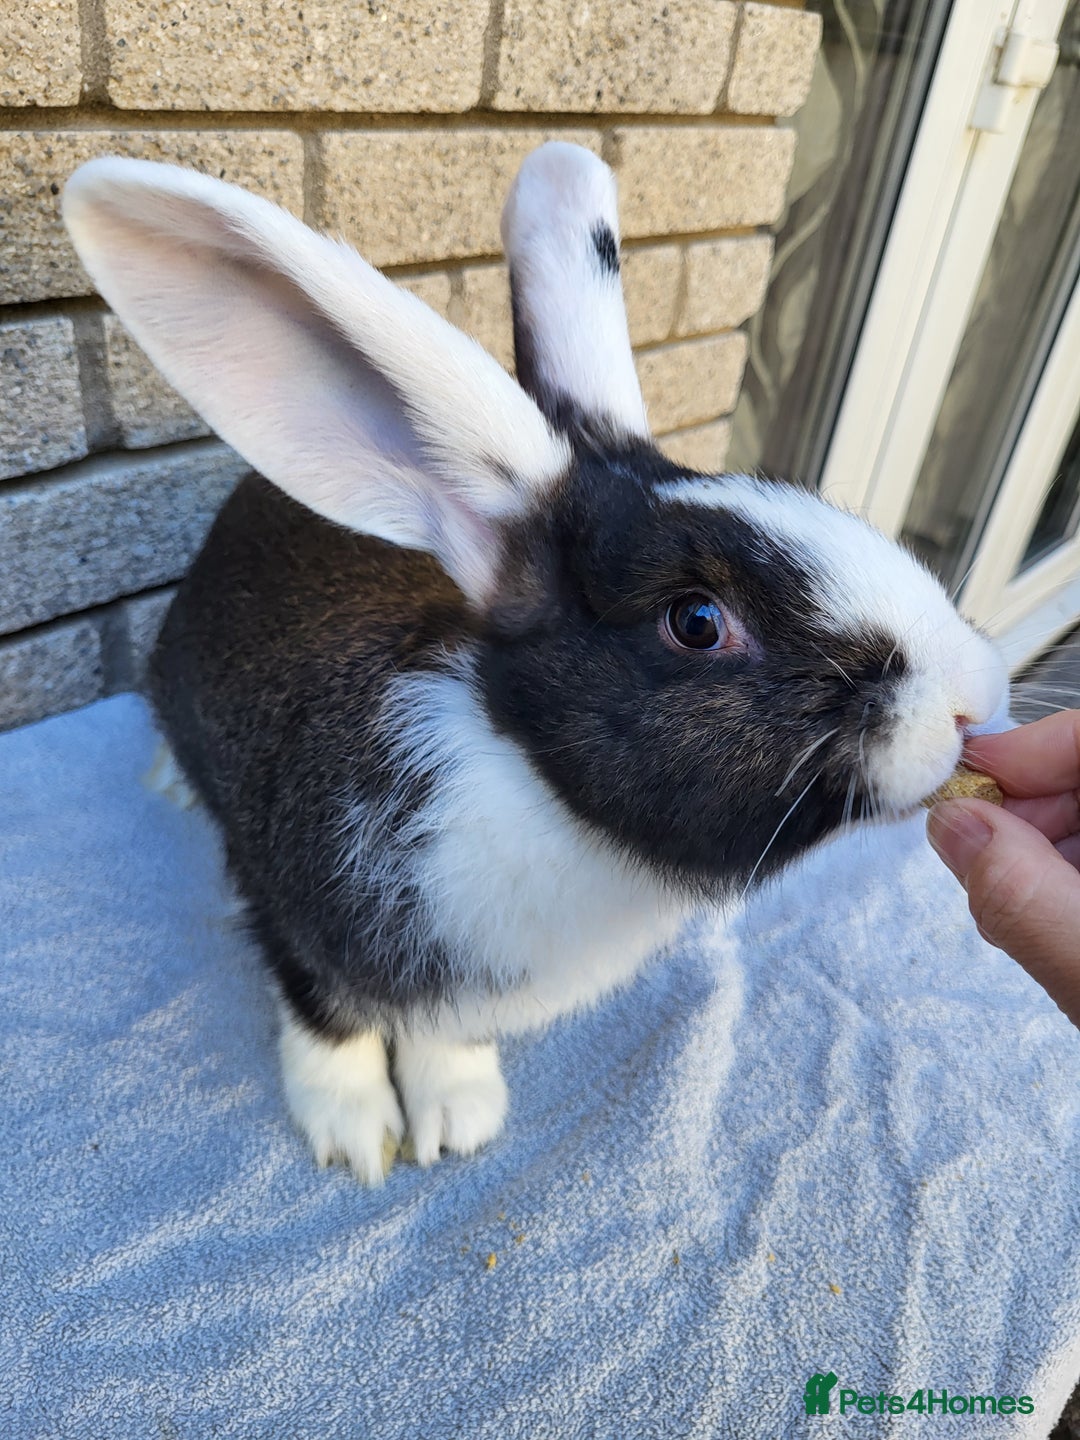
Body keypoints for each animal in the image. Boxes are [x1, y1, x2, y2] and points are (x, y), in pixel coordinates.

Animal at [62, 142, 1010, 1185]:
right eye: (696, 622)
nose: (971, 699)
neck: (535, 786)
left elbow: (445, 1041)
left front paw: (457, 1115)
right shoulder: (287, 903)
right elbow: (326, 1017)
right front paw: (355, 1136)